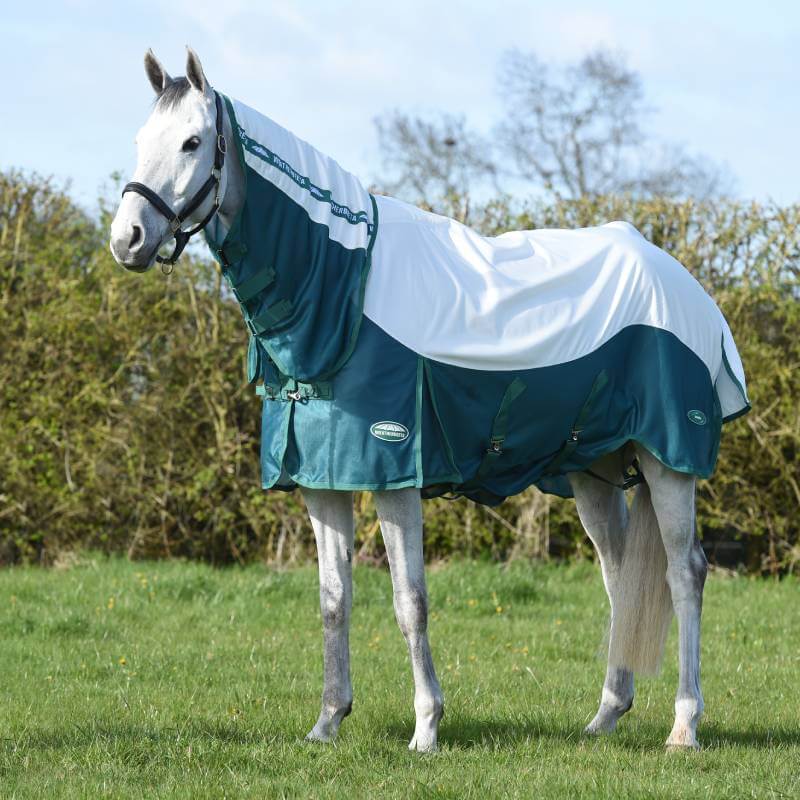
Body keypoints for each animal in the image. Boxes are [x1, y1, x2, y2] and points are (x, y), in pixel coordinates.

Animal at [109, 47, 749, 752]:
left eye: (193, 142)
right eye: (139, 141)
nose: (127, 238)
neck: (342, 292)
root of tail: (690, 291)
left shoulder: (394, 477)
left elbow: (408, 600)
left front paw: (426, 727)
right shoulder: (323, 481)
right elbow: (334, 600)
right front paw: (328, 721)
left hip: (668, 462)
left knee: (684, 573)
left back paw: (684, 726)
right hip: (593, 472)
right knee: (619, 578)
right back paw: (606, 715)